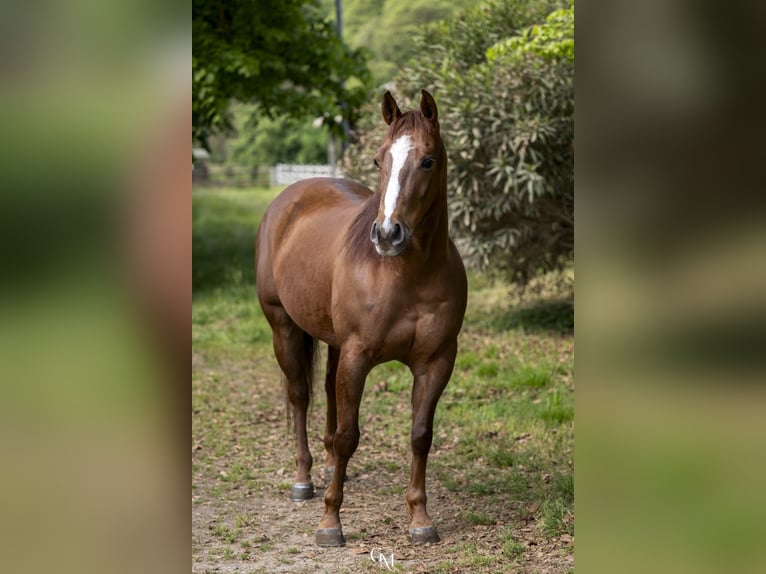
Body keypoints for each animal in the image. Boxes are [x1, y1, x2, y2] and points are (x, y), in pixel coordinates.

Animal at [255, 90, 467, 547]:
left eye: (427, 161)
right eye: (378, 159)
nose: (387, 234)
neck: (406, 276)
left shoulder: (437, 361)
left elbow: (420, 435)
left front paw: (420, 518)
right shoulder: (357, 357)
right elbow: (350, 436)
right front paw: (329, 522)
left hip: (333, 344)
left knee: (328, 397)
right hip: (283, 326)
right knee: (301, 396)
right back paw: (304, 480)